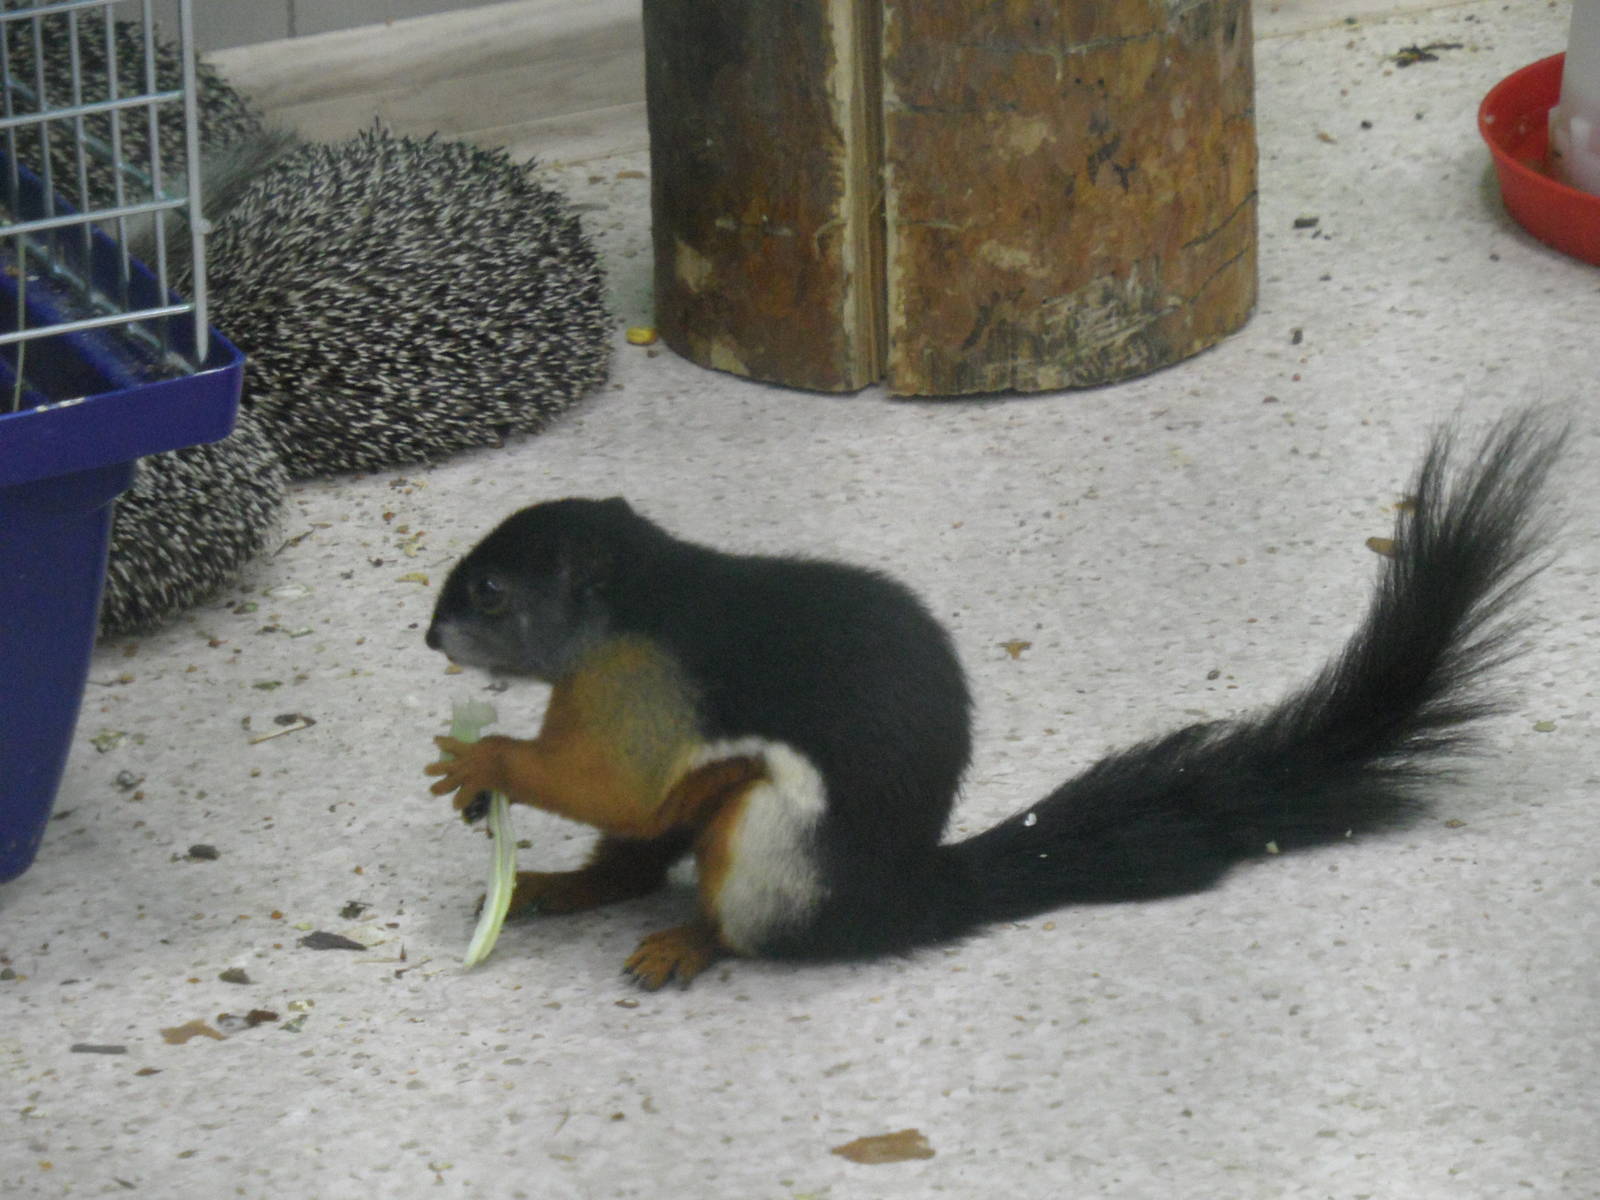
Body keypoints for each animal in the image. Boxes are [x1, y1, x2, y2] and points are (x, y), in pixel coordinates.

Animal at [424, 411, 1564, 989]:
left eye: (491, 593)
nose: (429, 637)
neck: (637, 598)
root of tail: (898, 898)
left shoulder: (639, 692)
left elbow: (608, 783)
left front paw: (479, 760)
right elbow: (614, 804)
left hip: (767, 848)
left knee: (733, 912)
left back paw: (687, 943)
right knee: (635, 860)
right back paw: (561, 888)